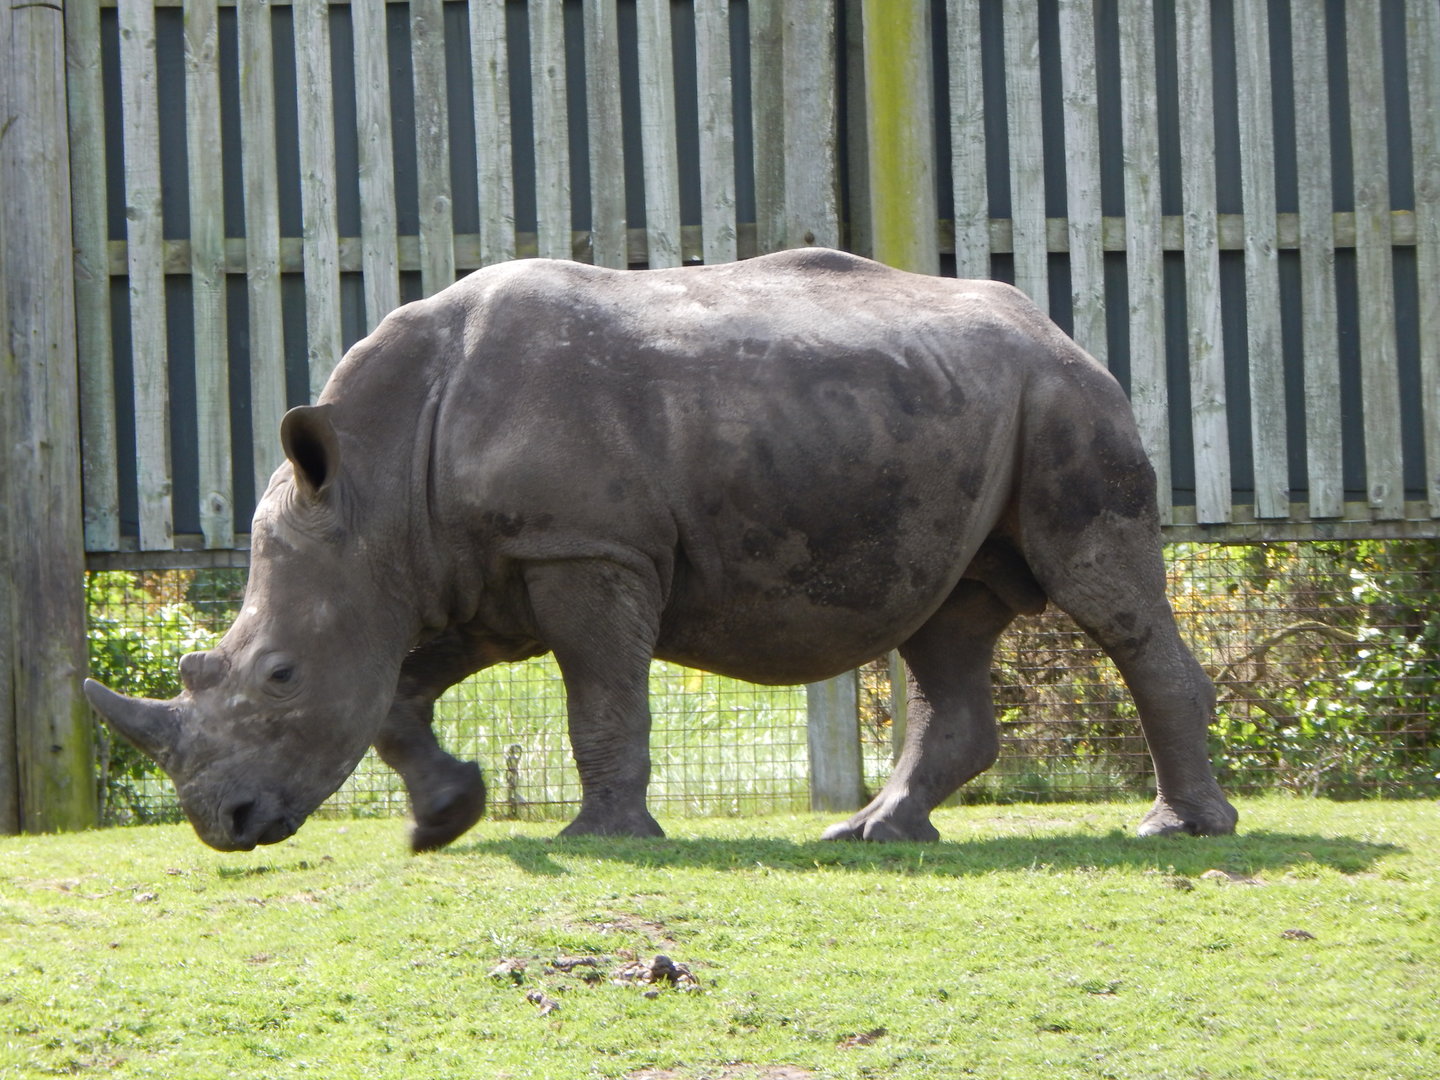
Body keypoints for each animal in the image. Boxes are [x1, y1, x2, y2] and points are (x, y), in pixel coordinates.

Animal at [85, 248, 1238, 852]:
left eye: (280, 675)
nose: (226, 825)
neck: (369, 481)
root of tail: (1062, 329)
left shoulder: (585, 552)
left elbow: (602, 699)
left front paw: (600, 839)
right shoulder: (472, 568)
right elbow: (396, 697)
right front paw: (445, 819)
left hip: (1065, 405)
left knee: (1105, 596)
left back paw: (1179, 832)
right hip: (962, 412)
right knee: (948, 624)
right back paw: (875, 834)